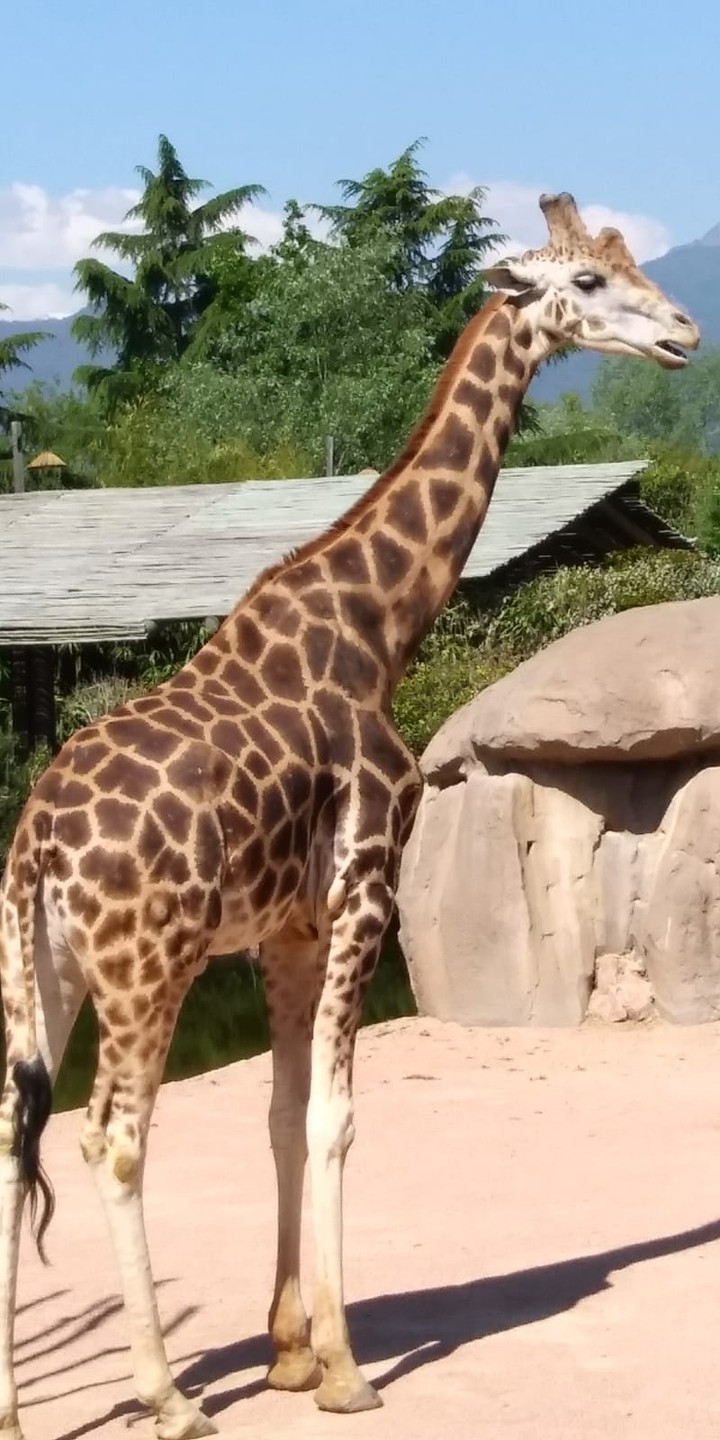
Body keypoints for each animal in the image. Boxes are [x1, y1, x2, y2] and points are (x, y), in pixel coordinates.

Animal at [0, 193, 699, 1439]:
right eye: (587, 283)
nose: (684, 336)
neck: (377, 630)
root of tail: (35, 843)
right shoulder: (364, 892)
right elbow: (336, 1118)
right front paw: (345, 1368)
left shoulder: (285, 929)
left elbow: (282, 1115)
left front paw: (288, 1349)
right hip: (147, 966)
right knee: (111, 1138)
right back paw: (167, 1397)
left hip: (44, 966)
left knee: (7, 1136)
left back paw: (14, 1412)